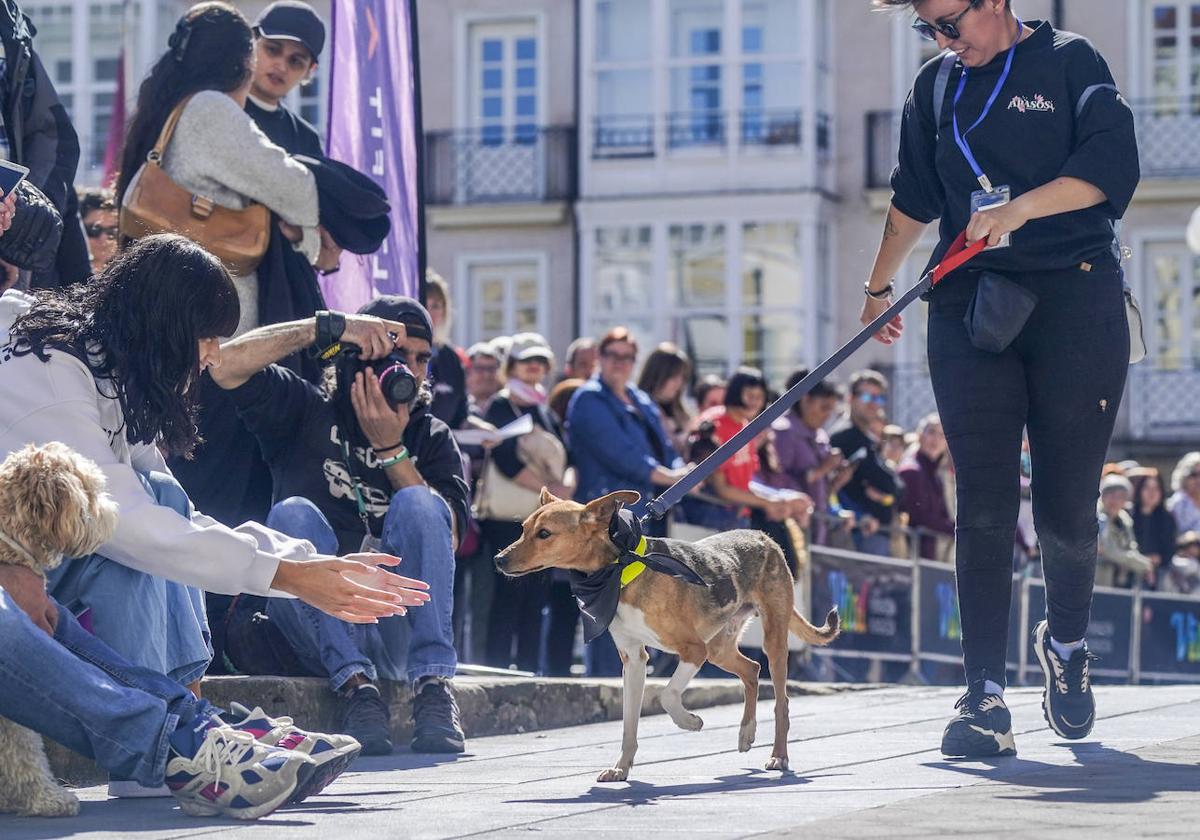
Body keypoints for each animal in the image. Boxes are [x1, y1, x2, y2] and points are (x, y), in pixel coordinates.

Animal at [492, 489, 840, 782]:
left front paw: (690, 722)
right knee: (752, 671)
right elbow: (629, 724)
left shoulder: (693, 650)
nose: (498, 559)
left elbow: (666, 695)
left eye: (545, 533)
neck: (619, 570)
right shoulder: (633, 659)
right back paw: (746, 733)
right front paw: (621, 769)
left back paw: (778, 756)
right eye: (523, 528)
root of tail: (764, 537)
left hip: (771, 641)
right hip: (719, 648)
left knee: (781, 701)